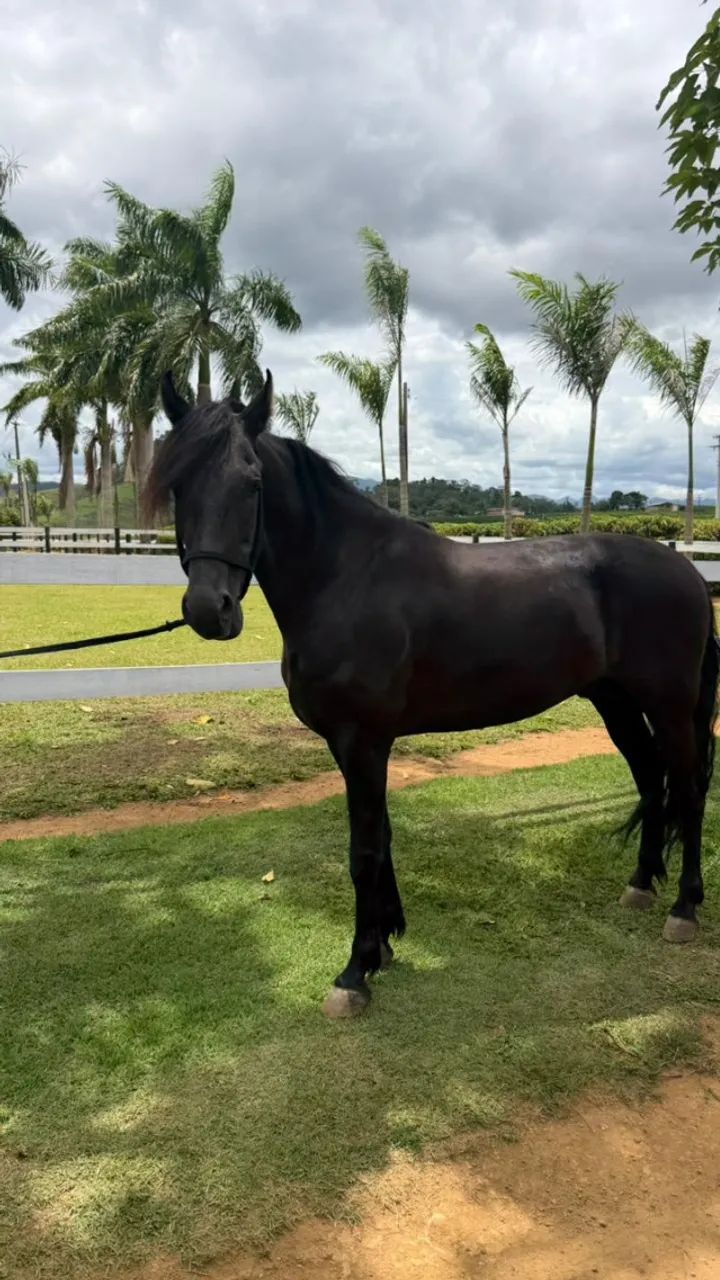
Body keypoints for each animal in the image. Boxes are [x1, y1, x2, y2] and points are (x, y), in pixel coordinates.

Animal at [147, 370, 718, 1018]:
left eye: (252, 482)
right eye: (178, 485)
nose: (208, 610)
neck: (346, 578)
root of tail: (689, 572)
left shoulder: (364, 741)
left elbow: (364, 850)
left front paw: (355, 972)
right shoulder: (354, 746)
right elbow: (384, 836)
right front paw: (386, 943)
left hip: (670, 705)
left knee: (688, 790)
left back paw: (684, 909)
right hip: (615, 701)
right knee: (650, 780)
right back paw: (641, 886)